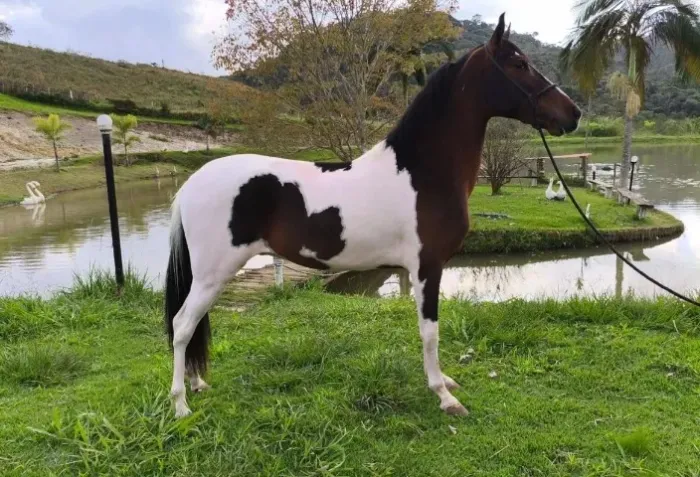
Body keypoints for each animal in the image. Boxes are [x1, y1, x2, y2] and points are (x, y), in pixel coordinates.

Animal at [164, 13, 582, 418]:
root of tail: (191, 184)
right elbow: (430, 331)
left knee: (194, 324)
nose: (574, 113)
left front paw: (446, 382)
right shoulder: (427, 267)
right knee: (182, 325)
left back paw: (198, 385)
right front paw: (443, 395)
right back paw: (181, 405)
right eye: (519, 64)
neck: (422, 171)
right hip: (213, 273)